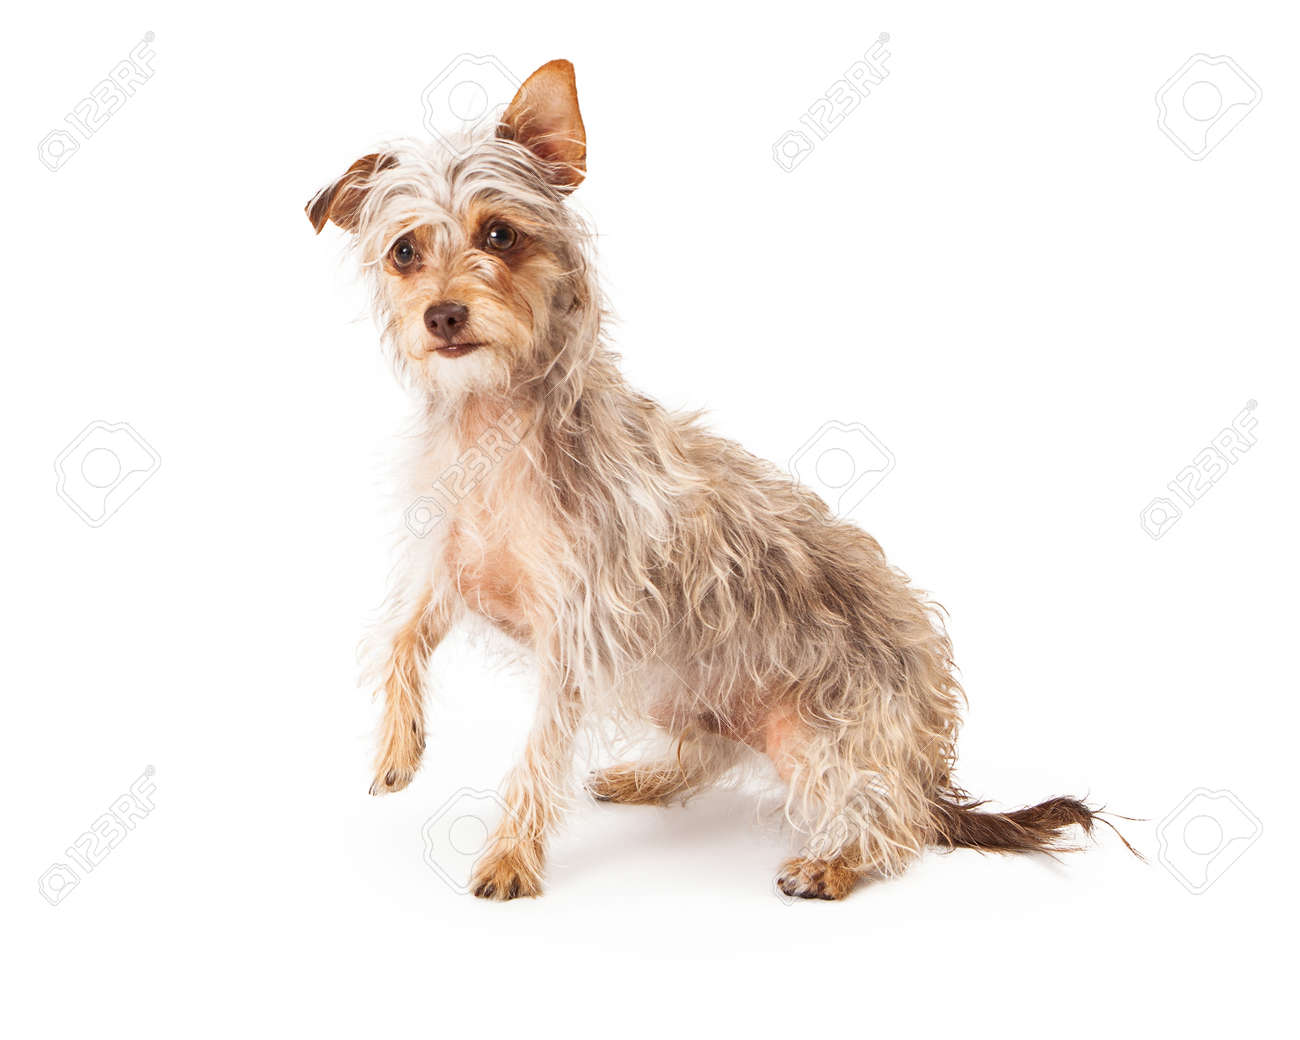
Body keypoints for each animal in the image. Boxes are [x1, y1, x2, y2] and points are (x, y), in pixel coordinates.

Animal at [304, 61, 1128, 899]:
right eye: (405, 251)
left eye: (499, 234)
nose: (442, 315)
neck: (492, 423)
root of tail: (928, 771)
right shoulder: (454, 571)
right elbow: (400, 637)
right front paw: (398, 749)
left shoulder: (574, 639)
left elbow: (536, 754)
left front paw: (509, 856)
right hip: (676, 687)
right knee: (714, 749)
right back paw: (646, 777)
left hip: (813, 736)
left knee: (894, 823)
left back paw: (833, 862)